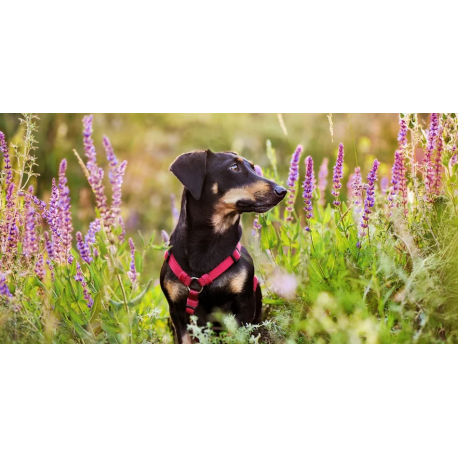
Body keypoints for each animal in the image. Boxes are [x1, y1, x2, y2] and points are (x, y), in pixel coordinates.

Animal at [159, 150, 284, 344]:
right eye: (234, 167)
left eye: (253, 167)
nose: (282, 191)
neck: (209, 242)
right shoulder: (177, 311)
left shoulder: (244, 305)